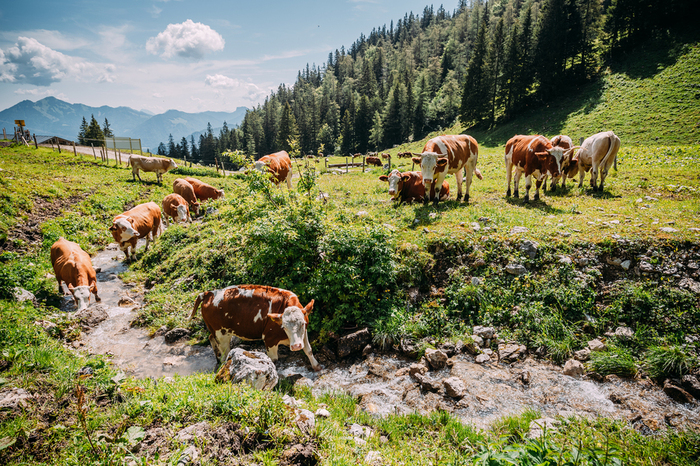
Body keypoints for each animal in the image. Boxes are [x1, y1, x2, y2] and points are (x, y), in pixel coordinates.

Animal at [189, 285, 320, 371]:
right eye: (284, 327)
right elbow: (273, 360)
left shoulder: (304, 333)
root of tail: (209, 293)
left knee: (211, 338)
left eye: (302, 323)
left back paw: (217, 358)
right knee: (224, 355)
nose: (296, 346)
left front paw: (316, 366)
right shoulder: (269, 339)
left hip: (216, 331)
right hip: (221, 334)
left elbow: (308, 350)